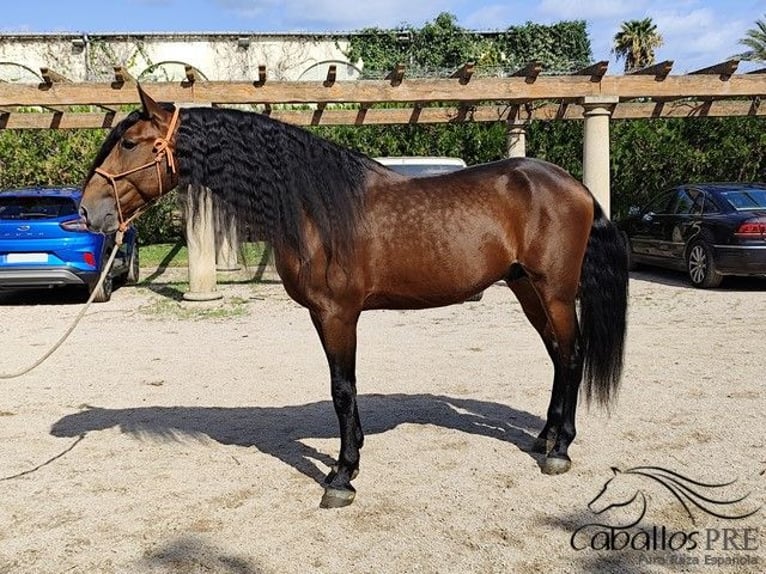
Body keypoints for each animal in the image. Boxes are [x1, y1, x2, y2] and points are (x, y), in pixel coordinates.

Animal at [80, 85, 629, 508]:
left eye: (129, 142)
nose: (87, 211)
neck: (312, 207)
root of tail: (575, 186)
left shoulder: (338, 314)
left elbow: (342, 389)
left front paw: (342, 475)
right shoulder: (326, 316)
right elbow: (342, 388)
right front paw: (352, 460)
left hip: (553, 291)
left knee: (572, 355)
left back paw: (560, 449)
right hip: (526, 289)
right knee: (558, 356)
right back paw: (544, 438)